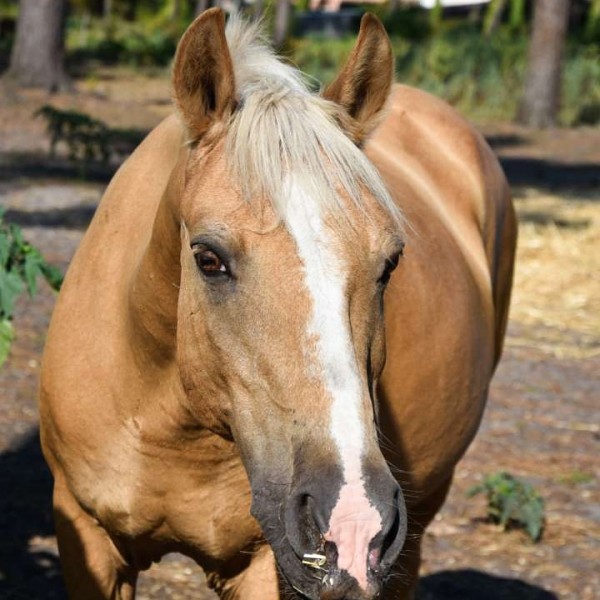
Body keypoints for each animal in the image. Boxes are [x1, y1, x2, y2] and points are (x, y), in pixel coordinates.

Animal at [38, 9, 516, 600]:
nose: (352, 522)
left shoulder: (263, 561)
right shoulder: (87, 536)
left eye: (389, 263)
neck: (166, 422)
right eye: (208, 258)